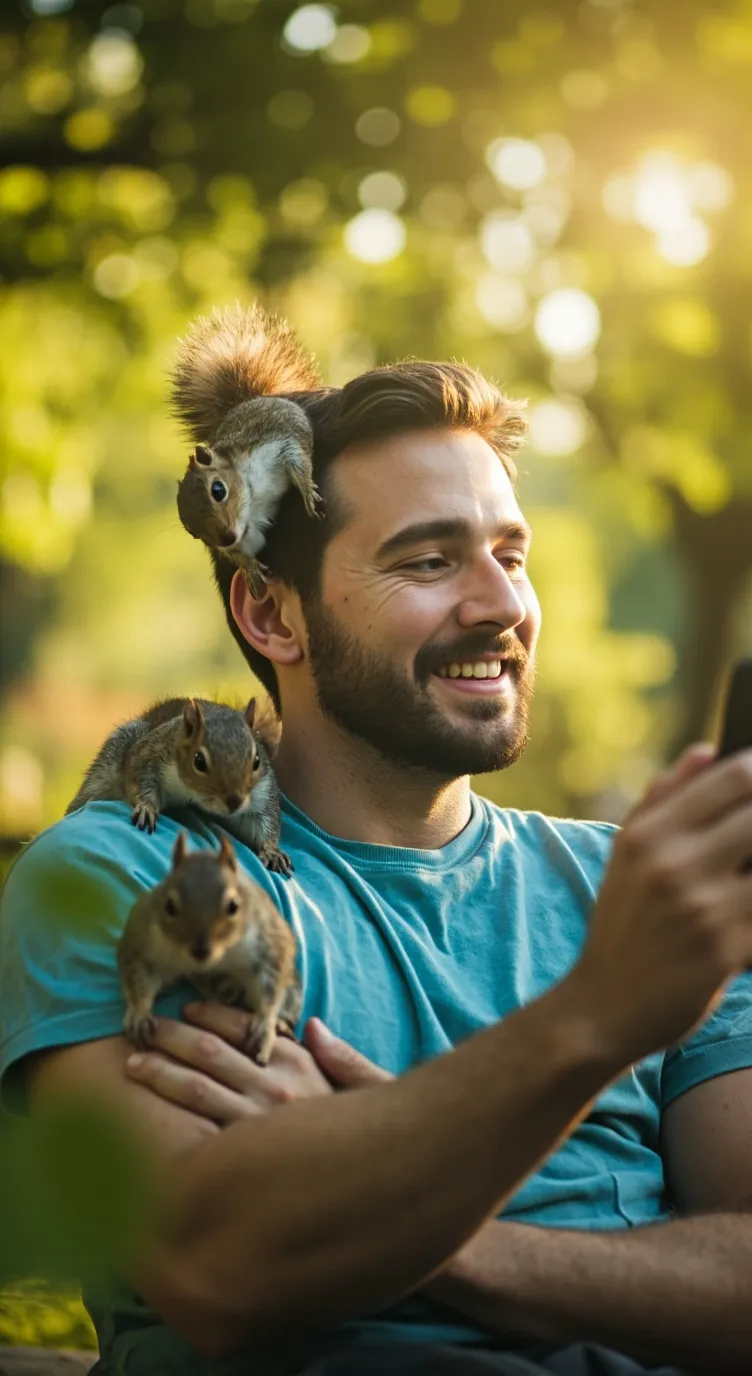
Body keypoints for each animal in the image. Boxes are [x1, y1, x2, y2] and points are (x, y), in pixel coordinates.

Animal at [66, 695, 292, 875]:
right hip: (111, 758)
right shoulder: (148, 755)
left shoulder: (263, 791)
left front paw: (272, 851)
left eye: (257, 760)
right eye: (199, 761)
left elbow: (267, 821)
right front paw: (147, 808)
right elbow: (139, 779)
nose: (234, 802)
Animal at [117, 830, 301, 1062]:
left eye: (233, 906)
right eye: (169, 906)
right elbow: (137, 977)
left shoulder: (269, 942)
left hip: (293, 991)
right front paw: (139, 1016)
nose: (200, 951)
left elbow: (270, 986)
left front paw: (264, 1025)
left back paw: (280, 1022)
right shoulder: (142, 938)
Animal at [171, 303, 325, 598]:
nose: (227, 538)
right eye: (193, 531)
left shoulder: (274, 436)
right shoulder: (248, 535)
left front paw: (306, 490)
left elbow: (297, 454)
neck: (252, 497)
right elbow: (242, 554)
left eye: (218, 489)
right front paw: (249, 567)